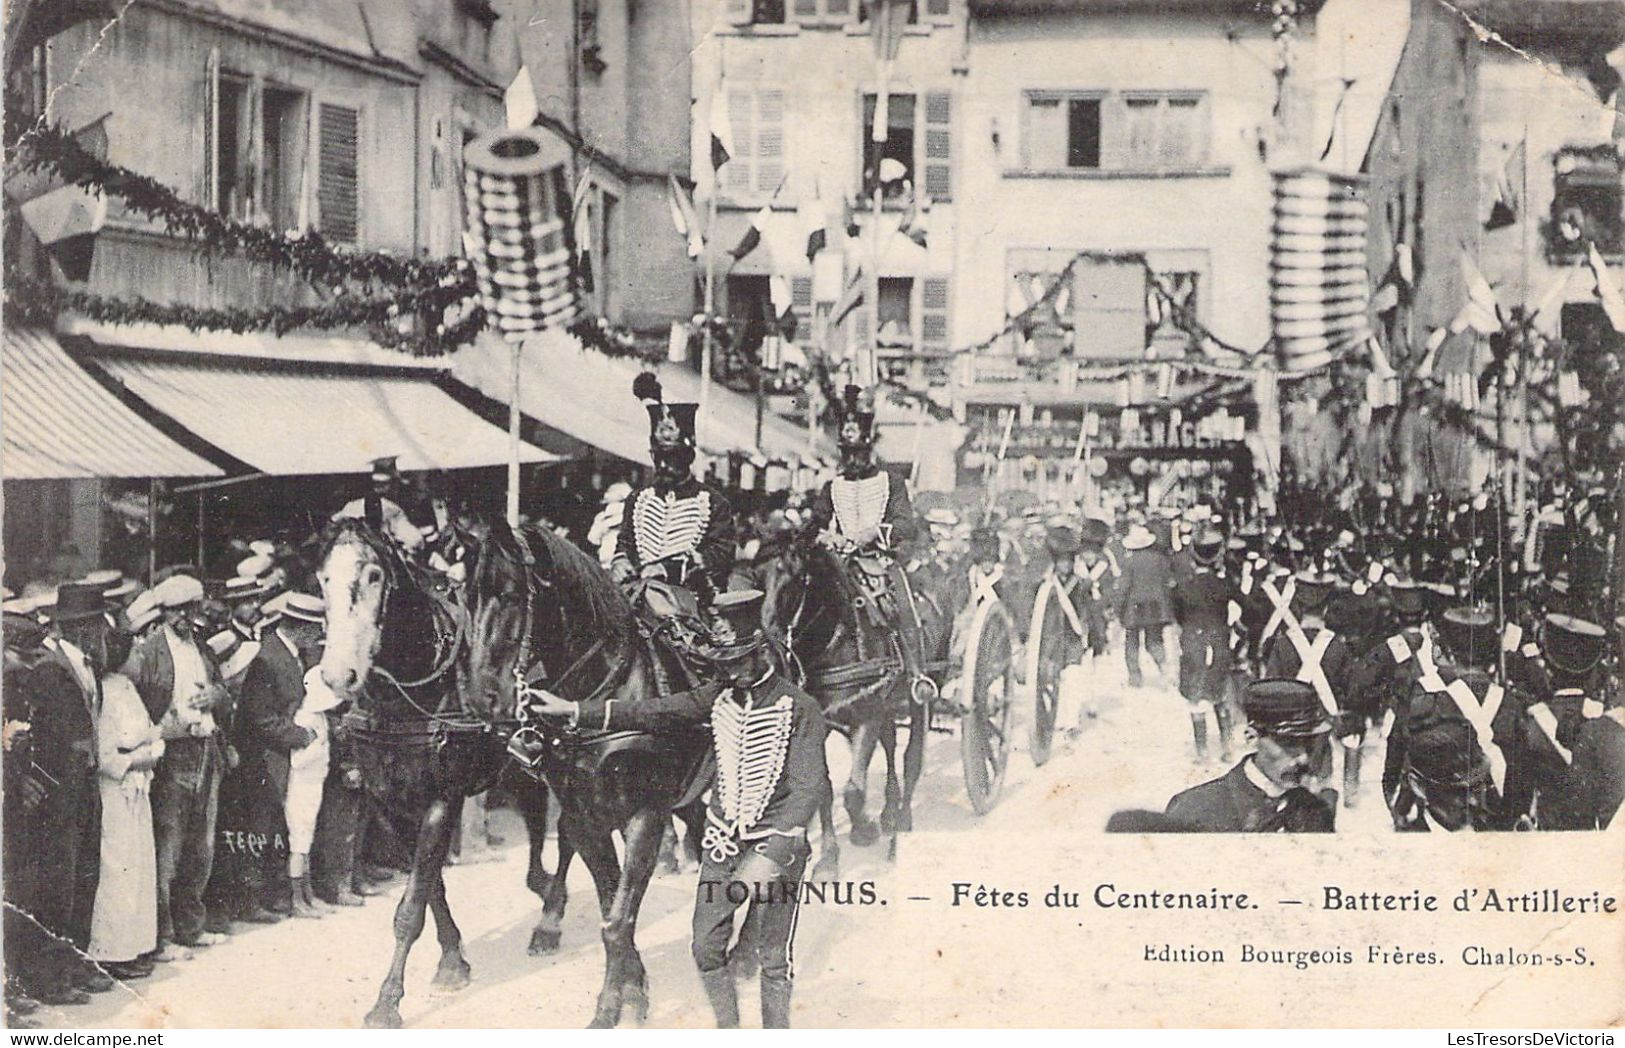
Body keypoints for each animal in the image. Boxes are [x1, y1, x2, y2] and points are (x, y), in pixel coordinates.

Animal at [316, 519, 572, 1026]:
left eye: (374, 575)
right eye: (323, 578)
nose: (338, 676)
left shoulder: (442, 799)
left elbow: (411, 905)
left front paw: (387, 1002)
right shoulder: (390, 803)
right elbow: (429, 887)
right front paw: (453, 960)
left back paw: (551, 918)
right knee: (536, 813)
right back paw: (541, 886)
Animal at [461, 519, 708, 1026]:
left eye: (511, 594)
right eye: (465, 597)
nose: (480, 697)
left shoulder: (645, 817)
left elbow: (616, 920)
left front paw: (613, 1006)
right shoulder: (588, 817)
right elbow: (612, 908)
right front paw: (632, 991)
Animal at [760, 536, 949, 851]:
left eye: (793, 580)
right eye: (758, 579)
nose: (768, 651)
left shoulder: (866, 719)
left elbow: (853, 790)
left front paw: (863, 829)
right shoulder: (823, 724)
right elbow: (824, 788)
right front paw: (828, 853)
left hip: (923, 692)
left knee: (912, 756)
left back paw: (902, 816)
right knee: (890, 744)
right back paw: (889, 810)